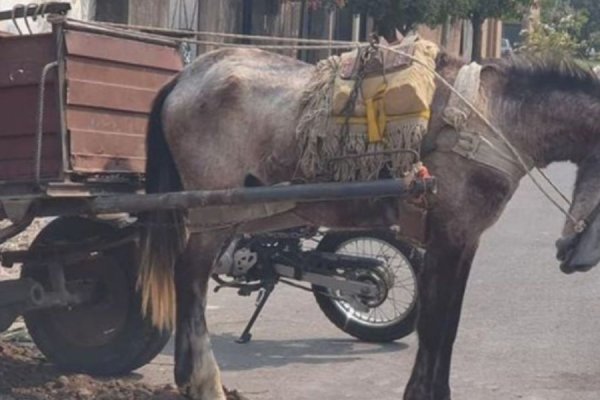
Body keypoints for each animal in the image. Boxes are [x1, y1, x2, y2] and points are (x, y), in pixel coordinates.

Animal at [137, 47, 600, 400]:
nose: (569, 254)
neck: (494, 119)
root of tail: (186, 76)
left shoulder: (465, 239)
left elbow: (448, 324)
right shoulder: (448, 235)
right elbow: (435, 325)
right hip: (213, 212)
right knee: (190, 280)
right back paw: (203, 381)